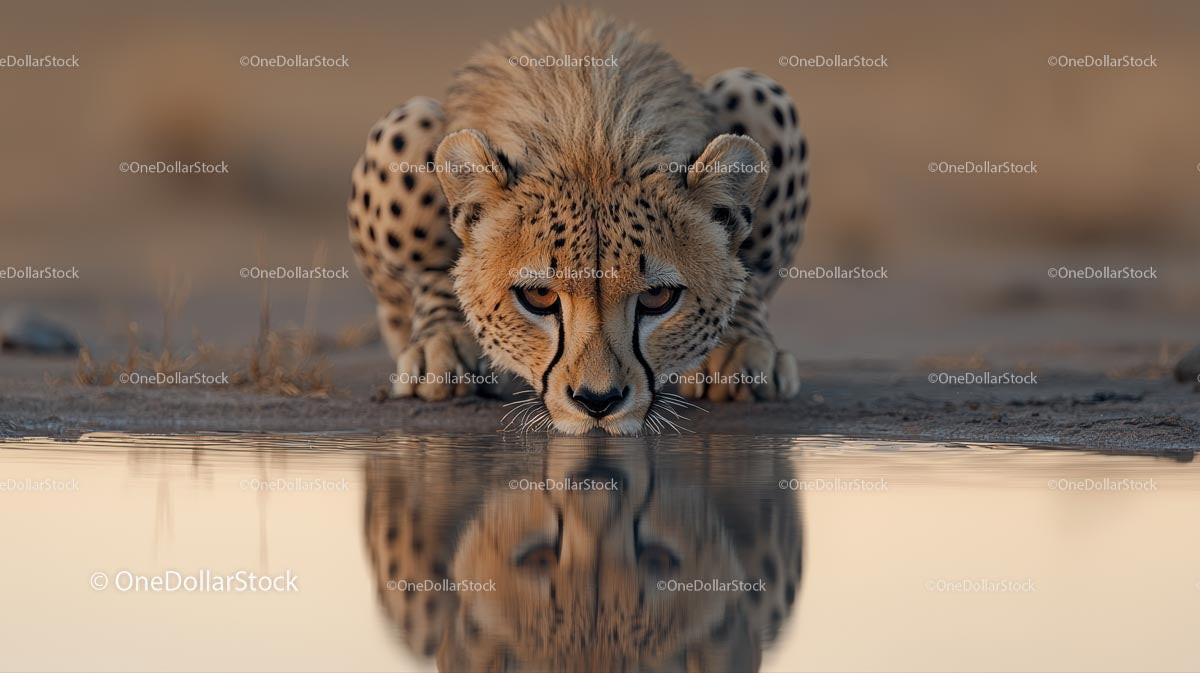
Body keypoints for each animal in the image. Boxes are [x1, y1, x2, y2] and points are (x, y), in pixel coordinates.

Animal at [347, 7, 809, 434]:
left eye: (658, 297)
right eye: (538, 296)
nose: (597, 401)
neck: (592, 134)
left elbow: (748, 274)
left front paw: (741, 343)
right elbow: (429, 267)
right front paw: (442, 340)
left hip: (750, 87)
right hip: (412, 118)